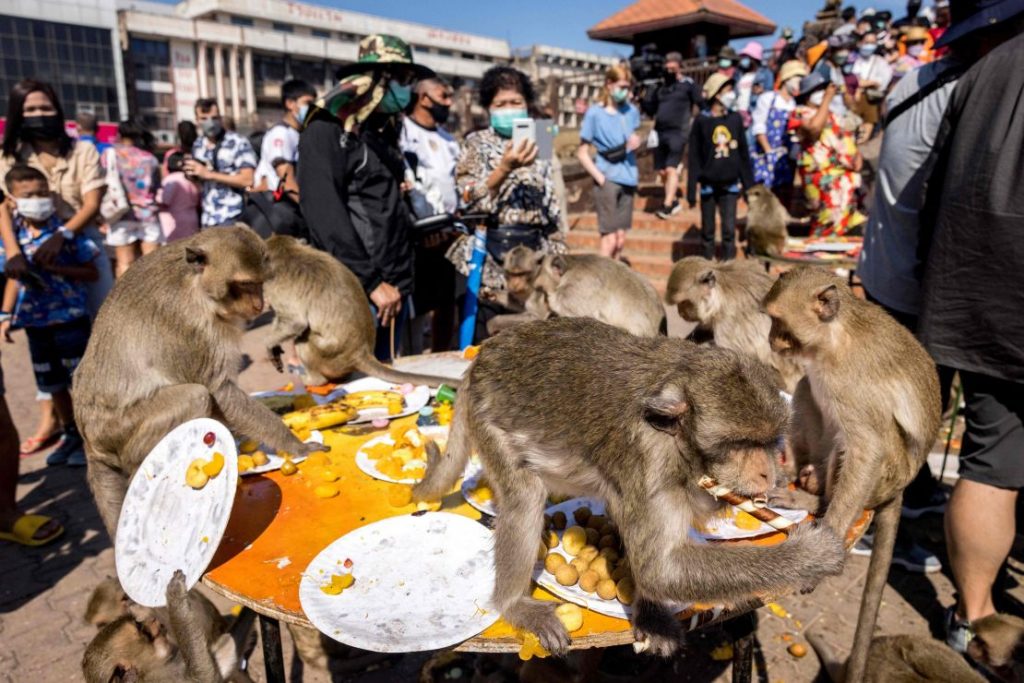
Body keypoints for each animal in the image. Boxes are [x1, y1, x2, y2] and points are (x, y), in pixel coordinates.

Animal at [73, 227, 329, 543]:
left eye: (260, 283)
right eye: (245, 284)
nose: (259, 305)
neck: (197, 287)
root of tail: (89, 441)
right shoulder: (187, 326)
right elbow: (219, 391)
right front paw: (296, 445)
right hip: (118, 430)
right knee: (195, 396)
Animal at [82, 571, 252, 683]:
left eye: (138, 623)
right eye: (141, 628)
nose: (151, 621)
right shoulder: (161, 680)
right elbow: (204, 675)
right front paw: (175, 598)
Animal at [261, 234, 457, 387]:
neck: (288, 251)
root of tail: (361, 353)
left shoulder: (274, 285)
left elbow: (295, 322)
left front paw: (269, 344)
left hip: (330, 357)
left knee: (303, 337)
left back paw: (315, 380)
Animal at [412, 317, 845, 656]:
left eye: (768, 442)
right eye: (739, 444)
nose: (767, 474)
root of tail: (481, 358)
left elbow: (648, 552)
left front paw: (651, 614)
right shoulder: (649, 460)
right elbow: (660, 568)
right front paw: (811, 554)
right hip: (490, 417)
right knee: (524, 500)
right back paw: (514, 603)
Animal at [762, 266, 942, 683]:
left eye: (779, 322)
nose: (770, 340)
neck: (833, 340)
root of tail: (903, 487)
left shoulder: (853, 384)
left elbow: (867, 448)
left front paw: (820, 552)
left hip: (888, 476)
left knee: (861, 445)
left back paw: (813, 496)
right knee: (808, 388)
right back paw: (800, 476)